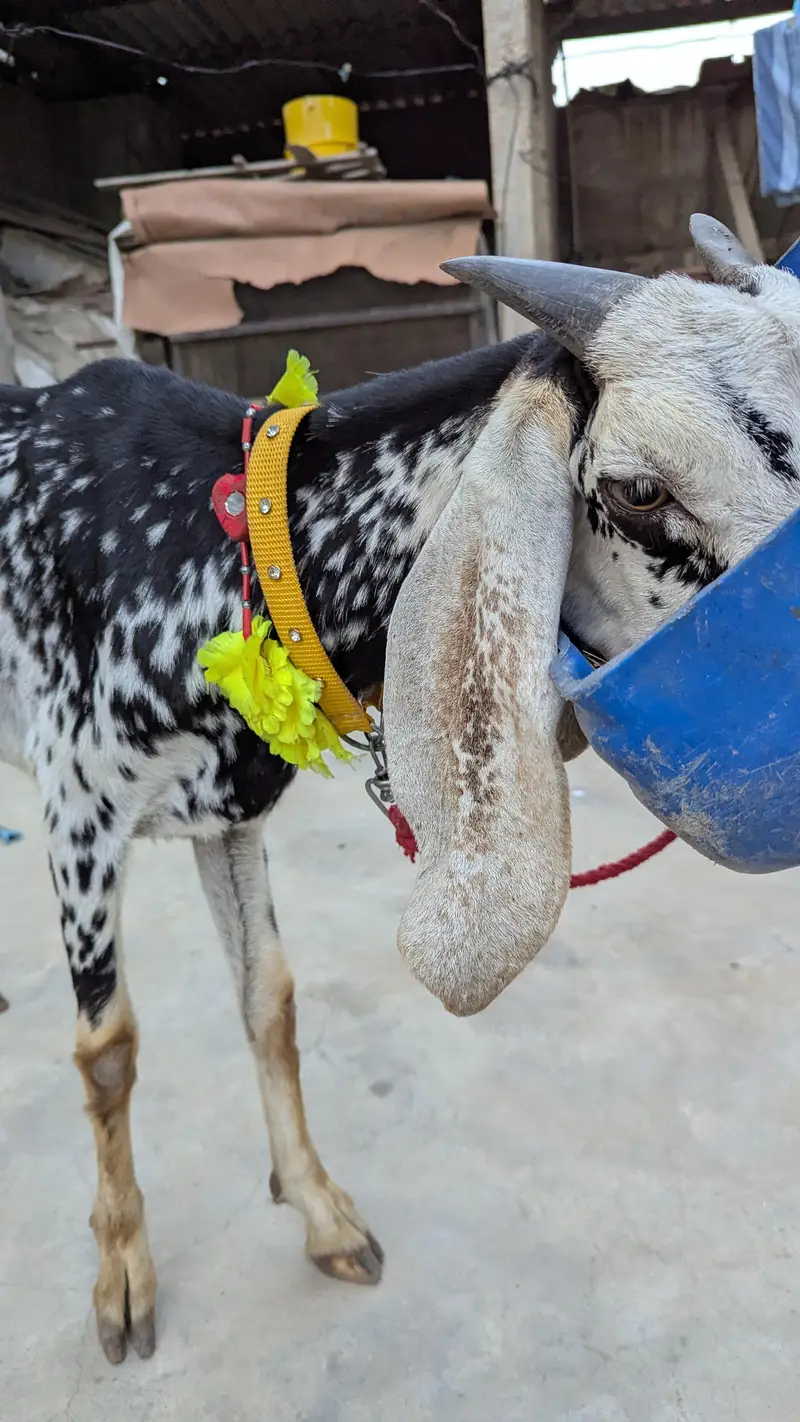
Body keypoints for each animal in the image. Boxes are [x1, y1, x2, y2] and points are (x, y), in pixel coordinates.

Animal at [3, 216, 800, 1362]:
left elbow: (269, 999)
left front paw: (320, 1212)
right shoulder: (80, 810)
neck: (219, 545)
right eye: (639, 490)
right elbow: (107, 1050)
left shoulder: (225, 816)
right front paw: (121, 1279)